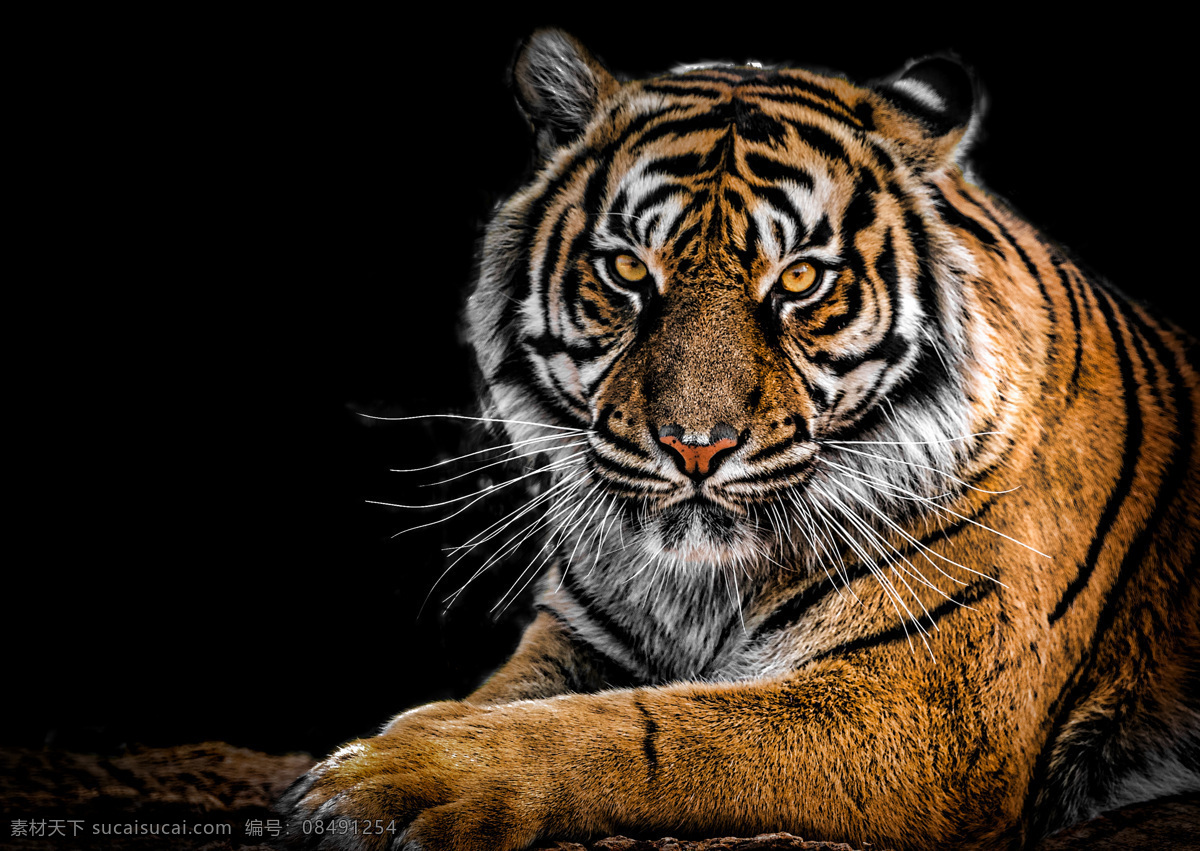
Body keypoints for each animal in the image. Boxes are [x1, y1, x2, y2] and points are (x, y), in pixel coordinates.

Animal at [280, 29, 1200, 851]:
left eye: (800, 278)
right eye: (627, 270)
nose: (695, 446)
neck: (698, 587)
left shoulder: (925, 708)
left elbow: (648, 730)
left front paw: (395, 776)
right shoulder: (578, 636)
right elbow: (507, 695)